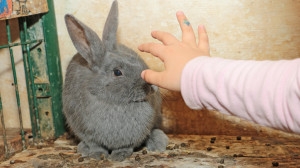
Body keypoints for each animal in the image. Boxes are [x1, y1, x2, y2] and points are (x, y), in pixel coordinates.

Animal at [62, 0, 169, 161]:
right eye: (117, 72)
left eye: (137, 61)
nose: (151, 88)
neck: (115, 102)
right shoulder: (87, 133)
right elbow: (95, 145)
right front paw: (97, 155)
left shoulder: (131, 138)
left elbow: (126, 146)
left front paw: (119, 156)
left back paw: (158, 142)